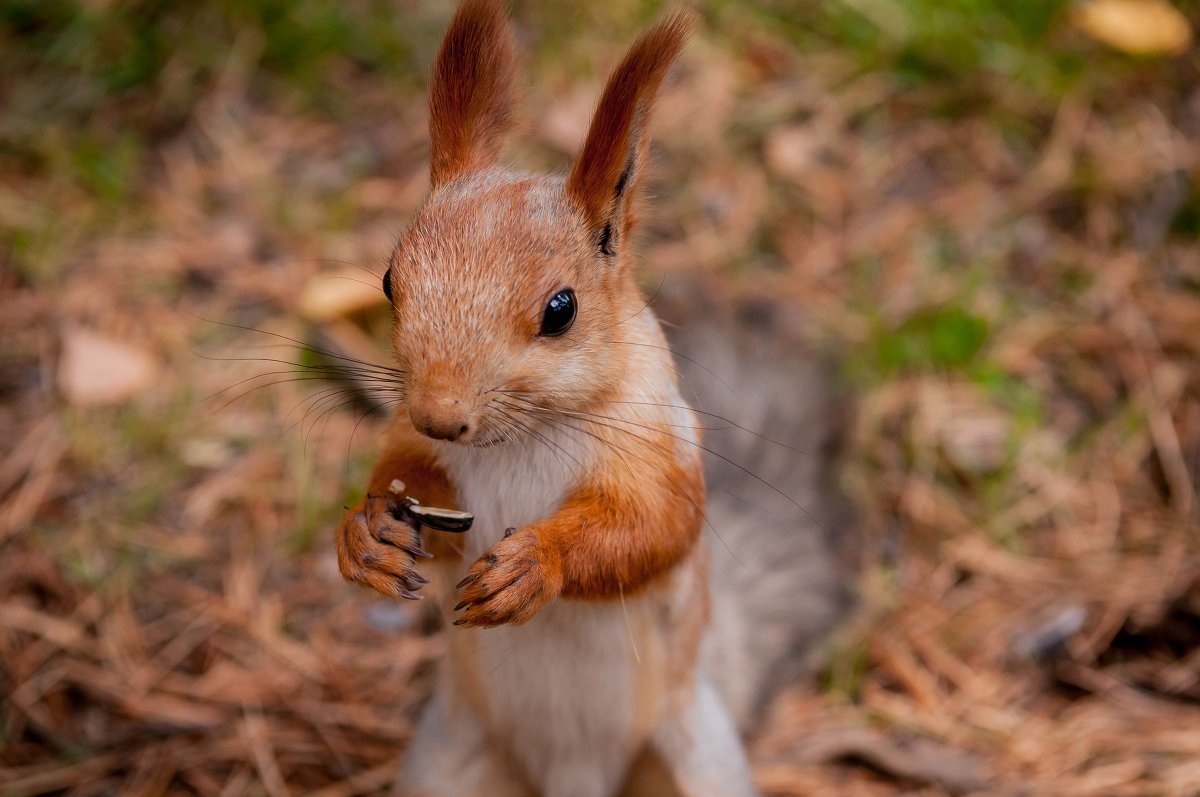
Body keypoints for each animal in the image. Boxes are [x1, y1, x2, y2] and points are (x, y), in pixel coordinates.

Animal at [333, 3, 849, 792]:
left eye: (561, 309)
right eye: (390, 281)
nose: (441, 416)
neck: (520, 438)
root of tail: (573, 772)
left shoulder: (657, 449)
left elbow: (655, 527)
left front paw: (534, 563)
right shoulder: (416, 443)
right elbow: (405, 477)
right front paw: (366, 534)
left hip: (696, 755)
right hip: (446, 762)